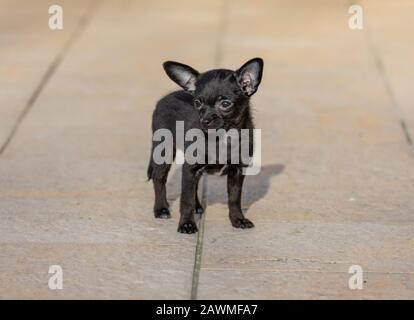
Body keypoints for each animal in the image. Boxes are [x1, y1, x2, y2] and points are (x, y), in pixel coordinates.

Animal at [147, 58, 264, 232]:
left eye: (225, 103)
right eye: (197, 102)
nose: (205, 121)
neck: (222, 136)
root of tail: (164, 98)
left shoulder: (237, 171)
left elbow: (234, 199)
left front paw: (238, 219)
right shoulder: (190, 168)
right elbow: (186, 200)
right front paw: (187, 224)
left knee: (194, 184)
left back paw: (197, 206)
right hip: (164, 150)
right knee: (159, 178)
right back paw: (161, 209)